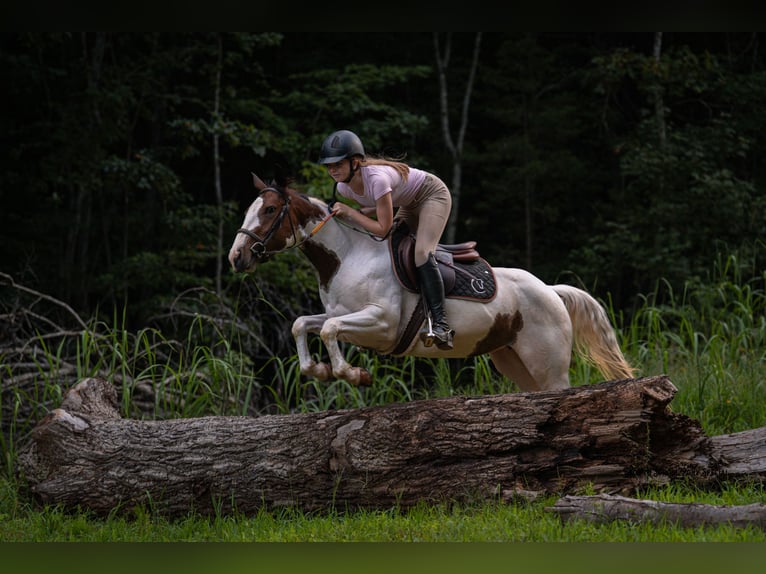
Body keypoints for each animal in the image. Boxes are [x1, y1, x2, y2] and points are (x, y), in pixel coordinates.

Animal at [228, 173, 635, 392]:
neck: (347, 257)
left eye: (269, 210)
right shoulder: (341, 313)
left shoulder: (381, 323)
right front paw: (319, 370)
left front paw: (354, 374)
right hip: (512, 358)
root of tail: (550, 290)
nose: (237, 257)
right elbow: (304, 324)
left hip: (548, 364)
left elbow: (328, 331)